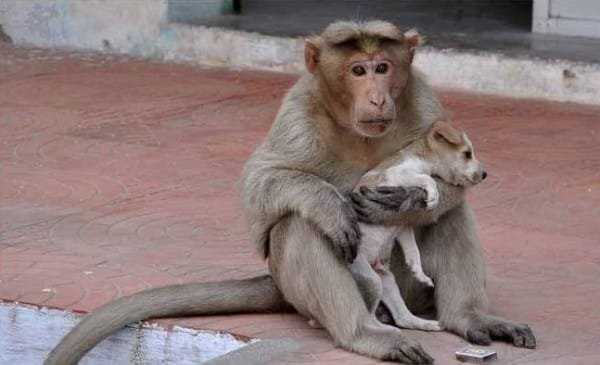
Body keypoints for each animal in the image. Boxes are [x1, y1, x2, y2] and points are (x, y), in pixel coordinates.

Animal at [350, 120, 486, 330]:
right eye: (467, 153)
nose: (485, 174)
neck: (422, 157)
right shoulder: (394, 174)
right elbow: (426, 178)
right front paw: (433, 196)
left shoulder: (402, 226)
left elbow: (413, 249)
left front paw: (418, 271)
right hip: (371, 279)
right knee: (369, 315)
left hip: (387, 280)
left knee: (403, 318)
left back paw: (428, 324)